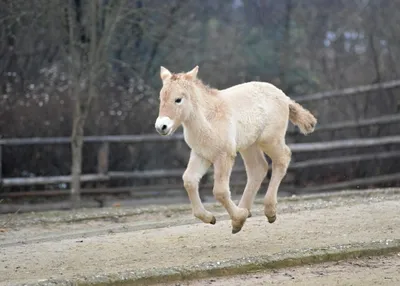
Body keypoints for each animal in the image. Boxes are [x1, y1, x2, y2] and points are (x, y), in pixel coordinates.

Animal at [155, 66, 318, 233]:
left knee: (283, 158)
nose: (161, 127)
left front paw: (238, 217)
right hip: (249, 145)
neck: (209, 119)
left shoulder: (224, 156)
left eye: (178, 99)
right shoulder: (201, 154)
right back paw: (244, 212)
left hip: (270, 140)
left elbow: (220, 191)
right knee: (258, 168)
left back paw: (268, 211)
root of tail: (284, 96)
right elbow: (189, 180)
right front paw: (211, 218)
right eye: (161, 99)